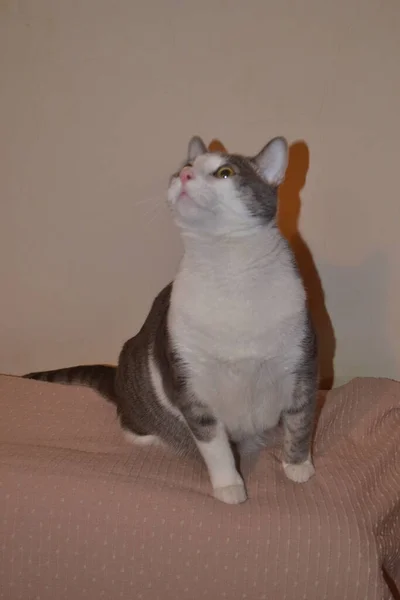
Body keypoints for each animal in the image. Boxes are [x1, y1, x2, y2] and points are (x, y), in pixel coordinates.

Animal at [24, 135, 318, 502]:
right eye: (184, 168)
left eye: (225, 172)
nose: (186, 176)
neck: (230, 270)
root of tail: (117, 380)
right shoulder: (189, 381)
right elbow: (214, 444)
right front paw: (229, 485)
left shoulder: (301, 363)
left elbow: (301, 420)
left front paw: (298, 465)